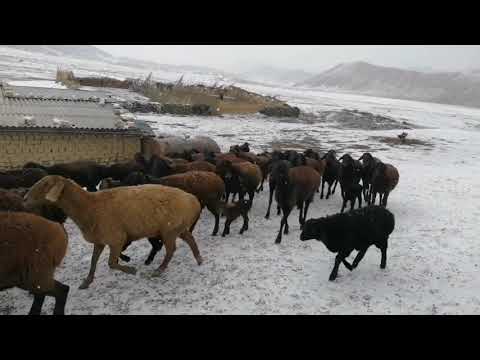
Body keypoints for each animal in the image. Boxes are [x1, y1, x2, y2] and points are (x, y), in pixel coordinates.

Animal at [23, 175, 202, 290]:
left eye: (46, 185)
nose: (24, 199)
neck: (89, 208)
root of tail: (193, 200)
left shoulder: (116, 238)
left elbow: (111, 263)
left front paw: (131, 270)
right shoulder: (99, 240)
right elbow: (93, 261)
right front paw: (87, 282)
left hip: (169, 229)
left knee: (171, 249)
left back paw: (159, 269)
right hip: (178, 227)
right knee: (190, 239)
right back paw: (199, 259)